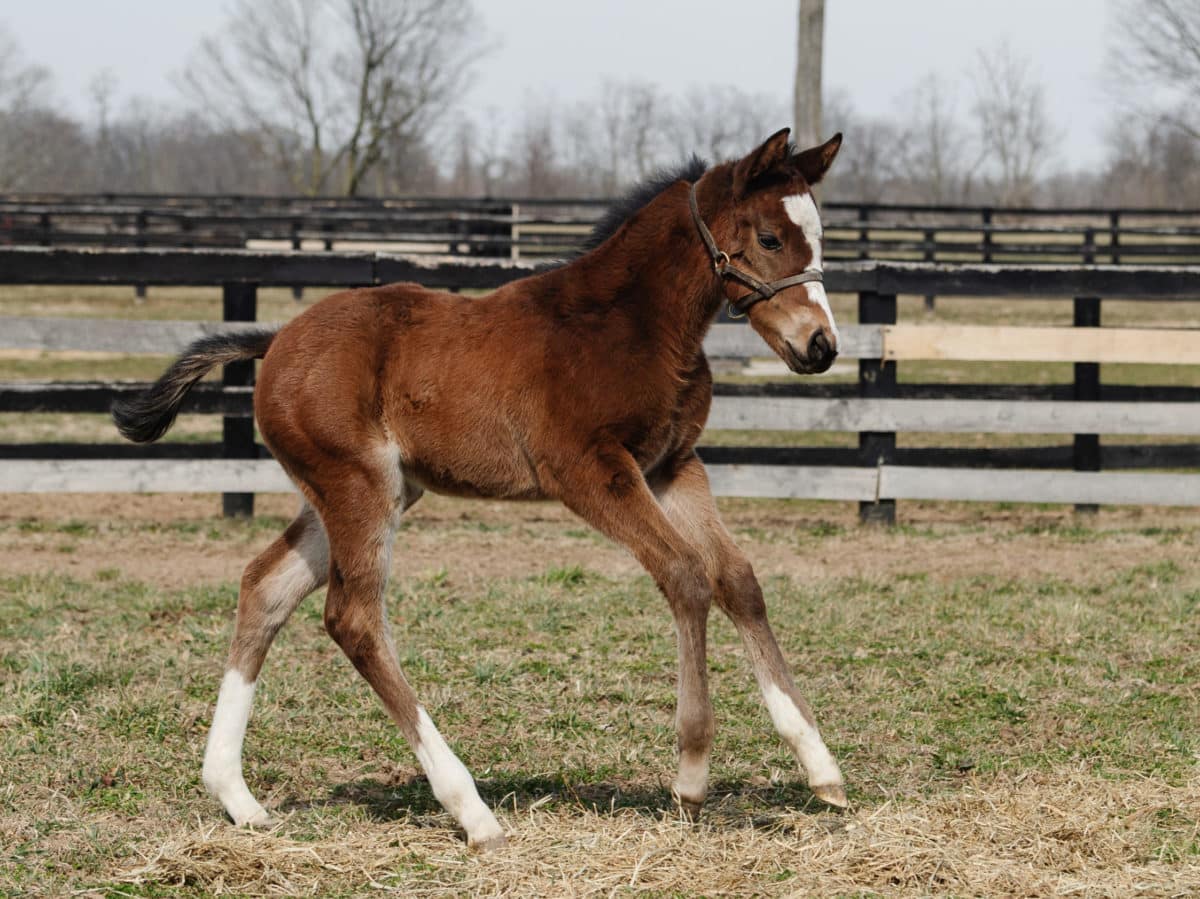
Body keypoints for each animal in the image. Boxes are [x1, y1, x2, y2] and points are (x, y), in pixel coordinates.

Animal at [112, 127, 844, 849]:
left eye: (817, 236)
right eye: (771, 238)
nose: (821, 346)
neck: (630, 324)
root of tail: (278, 339)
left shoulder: (672, 466)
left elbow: (737, 579)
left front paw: (821, 767)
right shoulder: (590, 471)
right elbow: (686, 574)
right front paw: (691, 778)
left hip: (367, 491)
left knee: (266, 587)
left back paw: (238, 797)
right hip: (358, 486)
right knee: (354, 618)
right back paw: (472, 810)